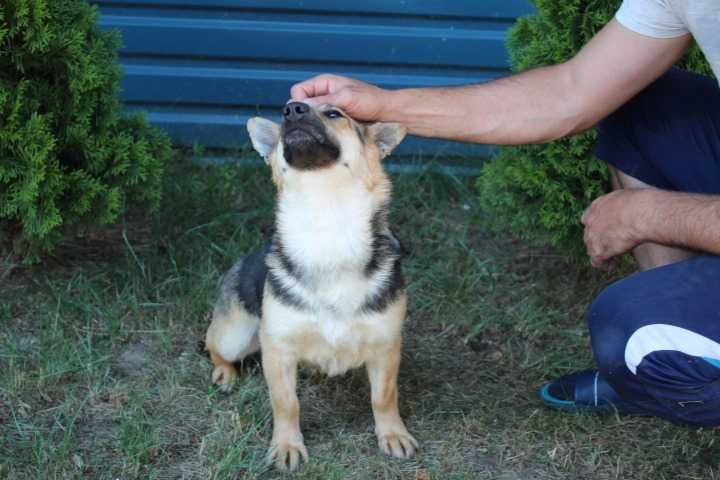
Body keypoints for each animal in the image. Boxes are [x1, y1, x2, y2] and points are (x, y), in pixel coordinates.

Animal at [202, 100, 416, 468]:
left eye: (334, 114)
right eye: (283, 113)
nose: (292, 108)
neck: (325, 220)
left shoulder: (386, 345)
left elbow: (384, 396)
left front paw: (392, 433)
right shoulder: (278, 350)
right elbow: (286, 403)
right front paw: (287, 445)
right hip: (234, 335)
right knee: (213, 346)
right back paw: (224, 373)